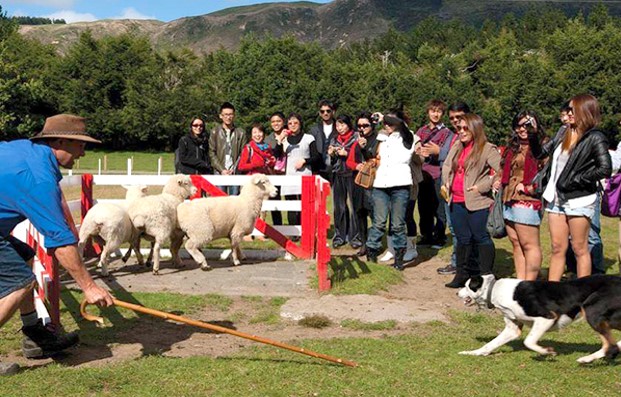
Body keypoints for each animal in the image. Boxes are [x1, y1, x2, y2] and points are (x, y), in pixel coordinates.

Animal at [458, 272, 621, 362]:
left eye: (466, 286)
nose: (456, 293)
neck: (495, 289)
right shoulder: (512, 329)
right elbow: (489, 345)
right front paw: (472, 353)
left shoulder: (546, 317)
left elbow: (528, 341)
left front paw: (546, 352)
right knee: (613, 344)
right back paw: (589, 358)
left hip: (592, 312)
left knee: (610, 345)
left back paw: (589, 359)